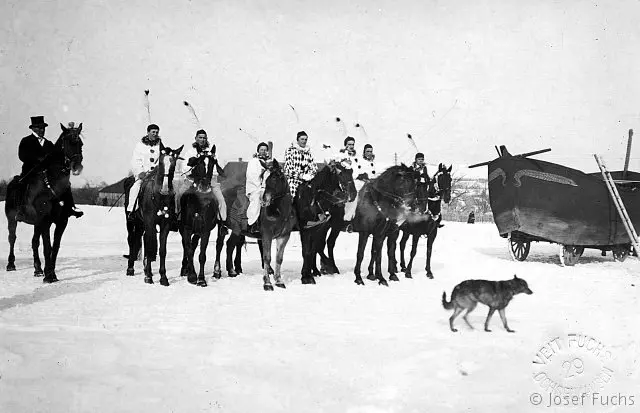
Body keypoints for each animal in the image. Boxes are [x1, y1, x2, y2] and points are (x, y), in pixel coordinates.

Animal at [5, 122, 85, 284]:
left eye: (80, 143)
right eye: (68, 142)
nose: (77, 167)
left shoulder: (61, 222)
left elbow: (55, 247)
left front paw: (51, 273)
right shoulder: (45, 221)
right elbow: (47, 247)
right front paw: (49, 276)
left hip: (36, 223)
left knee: (34, 242)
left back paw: (37, 269)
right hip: (12, 219)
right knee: (12, 238)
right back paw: (11, 264)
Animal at [125, 143, 184, 284]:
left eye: (173, 164)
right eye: (161, 163)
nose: (165, 189)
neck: (159, 197)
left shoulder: (165, 225)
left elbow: (162, 250)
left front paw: (163, 277)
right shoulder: (150, 223)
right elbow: (150, 245)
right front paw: (148, 276)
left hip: (140, 225)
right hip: (131, 222)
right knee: (132, 241)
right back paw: (130, 269)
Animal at [179, 153, 221, 284]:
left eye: (212, 164)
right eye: (199, 163)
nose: (204, 186)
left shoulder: (205, 231)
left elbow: (202, 255)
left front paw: (201, 279)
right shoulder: (186, 229)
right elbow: (188, 250)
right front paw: (192, 276)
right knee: (187, 247)